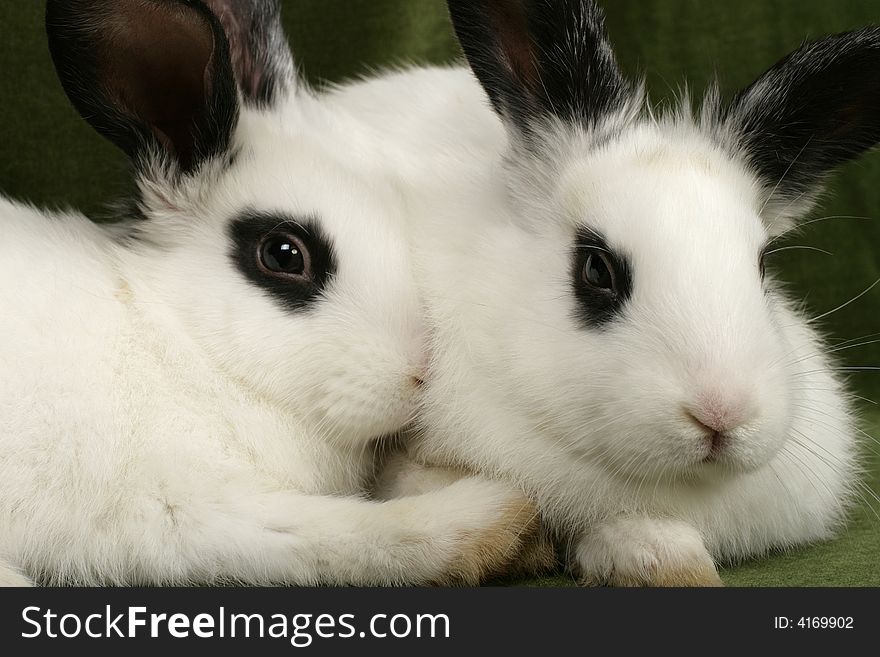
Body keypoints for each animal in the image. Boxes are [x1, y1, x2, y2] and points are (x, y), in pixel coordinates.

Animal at [0, 0, 544, 588]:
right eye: (284, 255)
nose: (421, 374)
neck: (184, 344)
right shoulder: (176, 506)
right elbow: (332, 533)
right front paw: (500, 519)